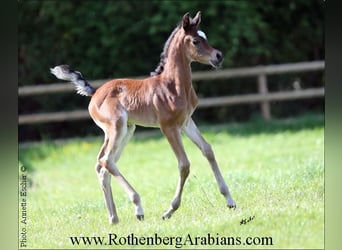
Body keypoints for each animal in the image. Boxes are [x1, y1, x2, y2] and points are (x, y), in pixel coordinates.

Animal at [50, 11, 236, 225]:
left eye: (205, 36)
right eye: (196, 41)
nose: (218, 56)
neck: (173, 85)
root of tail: (94, 92)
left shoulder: (186, 122)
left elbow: (208, 150)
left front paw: (230, 200)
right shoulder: (168, 127)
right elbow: (184, 164)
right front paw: (169, 210)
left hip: (127, 130)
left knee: (102, 164)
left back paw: (114, 217)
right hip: (116, 126)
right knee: (107, 161)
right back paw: (137, 207)